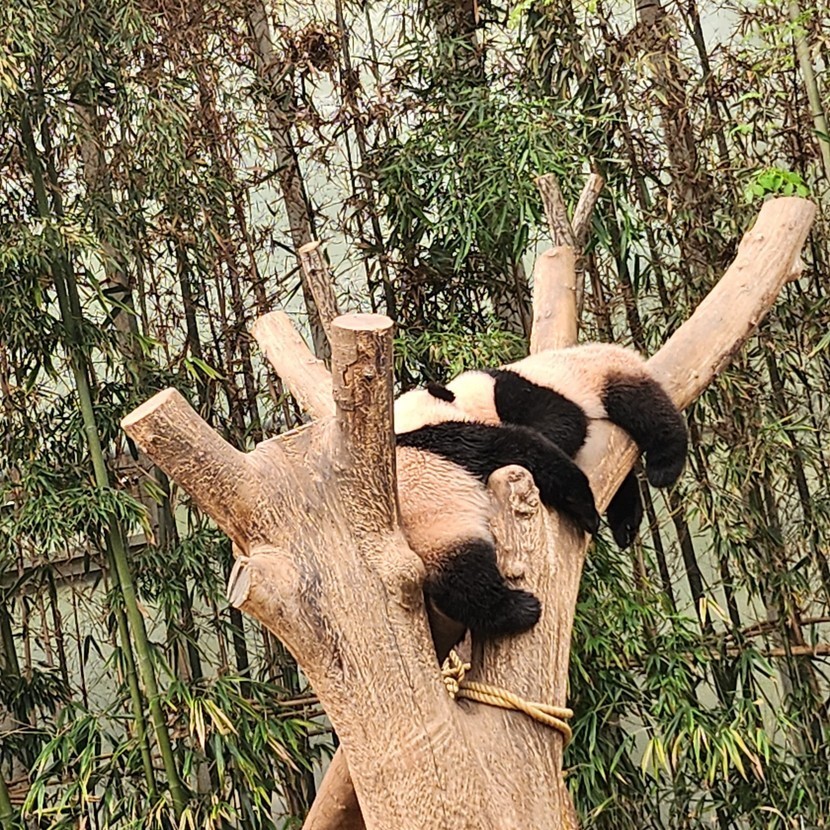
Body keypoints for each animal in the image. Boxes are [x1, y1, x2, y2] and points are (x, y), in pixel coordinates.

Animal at [393, 387, 600, 643]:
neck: (410, 425)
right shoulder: (459, 441)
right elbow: (523, 449)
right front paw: (589, 514)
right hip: (441, 533)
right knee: (467, 580)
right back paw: (521, 609)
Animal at [425, 343, 688, 549]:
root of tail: (628, 353)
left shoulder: (510, 392)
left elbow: (564, 419)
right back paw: (625, 526)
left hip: (610, 376)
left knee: (648, 411)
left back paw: (663, 469)